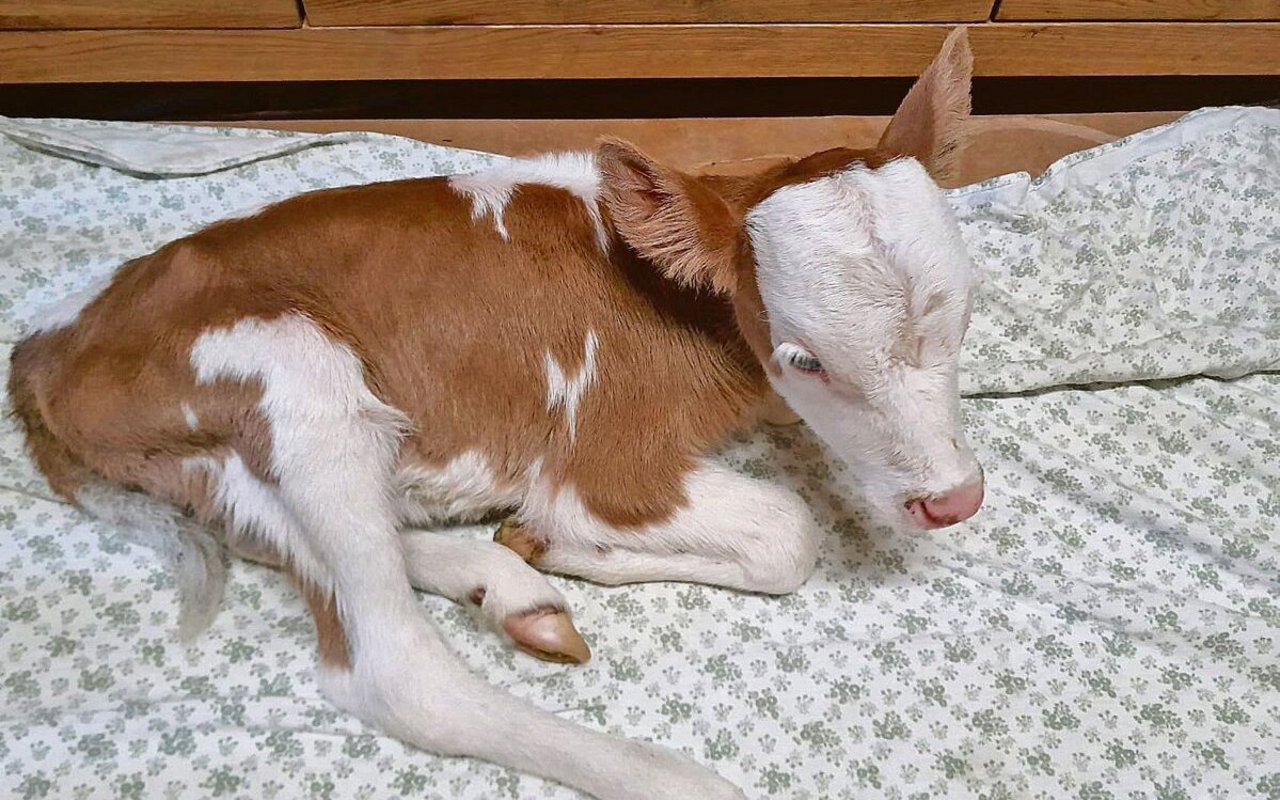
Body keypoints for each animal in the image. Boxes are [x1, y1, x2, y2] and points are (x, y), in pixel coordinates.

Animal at [7, 28, 977, 798]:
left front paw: (538, 549)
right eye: (805, 357)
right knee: (393, 671)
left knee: (296, 548)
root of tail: (50, 338)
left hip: (222, 458)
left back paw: (510, 588)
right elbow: (788, 531)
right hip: (302, 375)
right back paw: (663, 772)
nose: (952, 500)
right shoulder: (602, 462)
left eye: (959, 315)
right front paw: (564, 540)